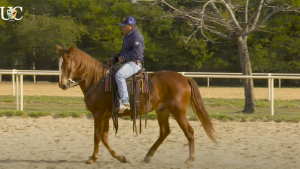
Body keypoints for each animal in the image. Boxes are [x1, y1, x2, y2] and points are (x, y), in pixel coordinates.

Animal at [55, 44, 216, 164]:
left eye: (67, 62)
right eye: (59, 63)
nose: (62, 84)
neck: (98, 81)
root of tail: (183, 78)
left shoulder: (99, 114)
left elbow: (97, 136)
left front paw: (92, 158)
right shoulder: (106, 115)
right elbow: (104, 137)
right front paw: (121, 158)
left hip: (178, 111)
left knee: (189, 131)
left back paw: (190, 159)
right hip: (162, 111)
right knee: (164, 132)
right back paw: (148, 156)